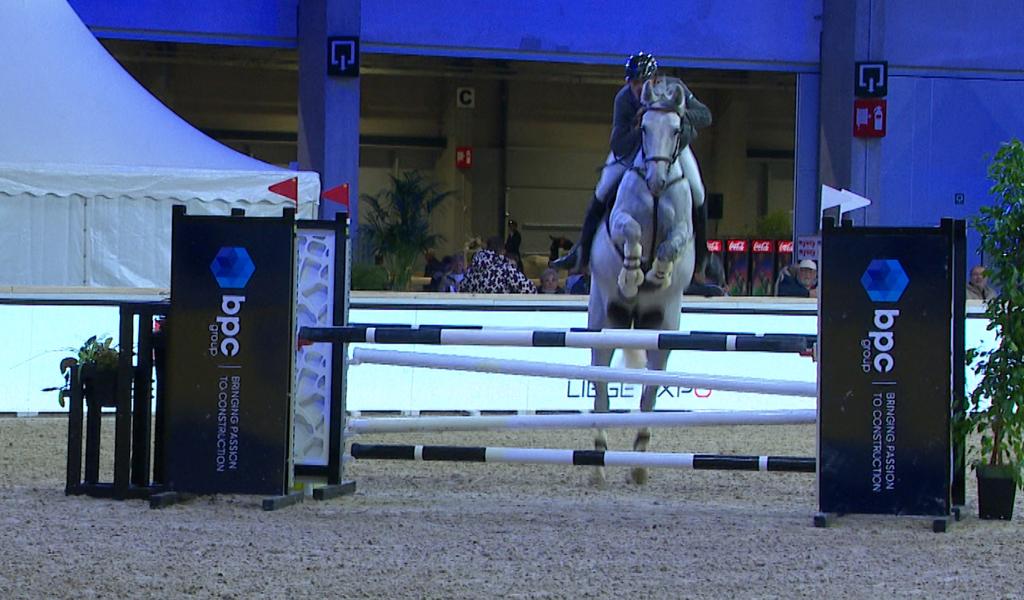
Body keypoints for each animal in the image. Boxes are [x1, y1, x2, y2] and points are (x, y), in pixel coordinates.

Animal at [593, 78, 704, 481]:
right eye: (642, 129)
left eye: (676, 130)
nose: (656, 182)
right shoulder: (622, 218)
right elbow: (632, 231)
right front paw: (632, 275)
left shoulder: (683, 226)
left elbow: (672, 243)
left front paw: (659, 272)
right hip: (604, 318)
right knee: (600, 382)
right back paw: (598, 460)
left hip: (663, 326)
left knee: (650, 388)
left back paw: (639, 462)